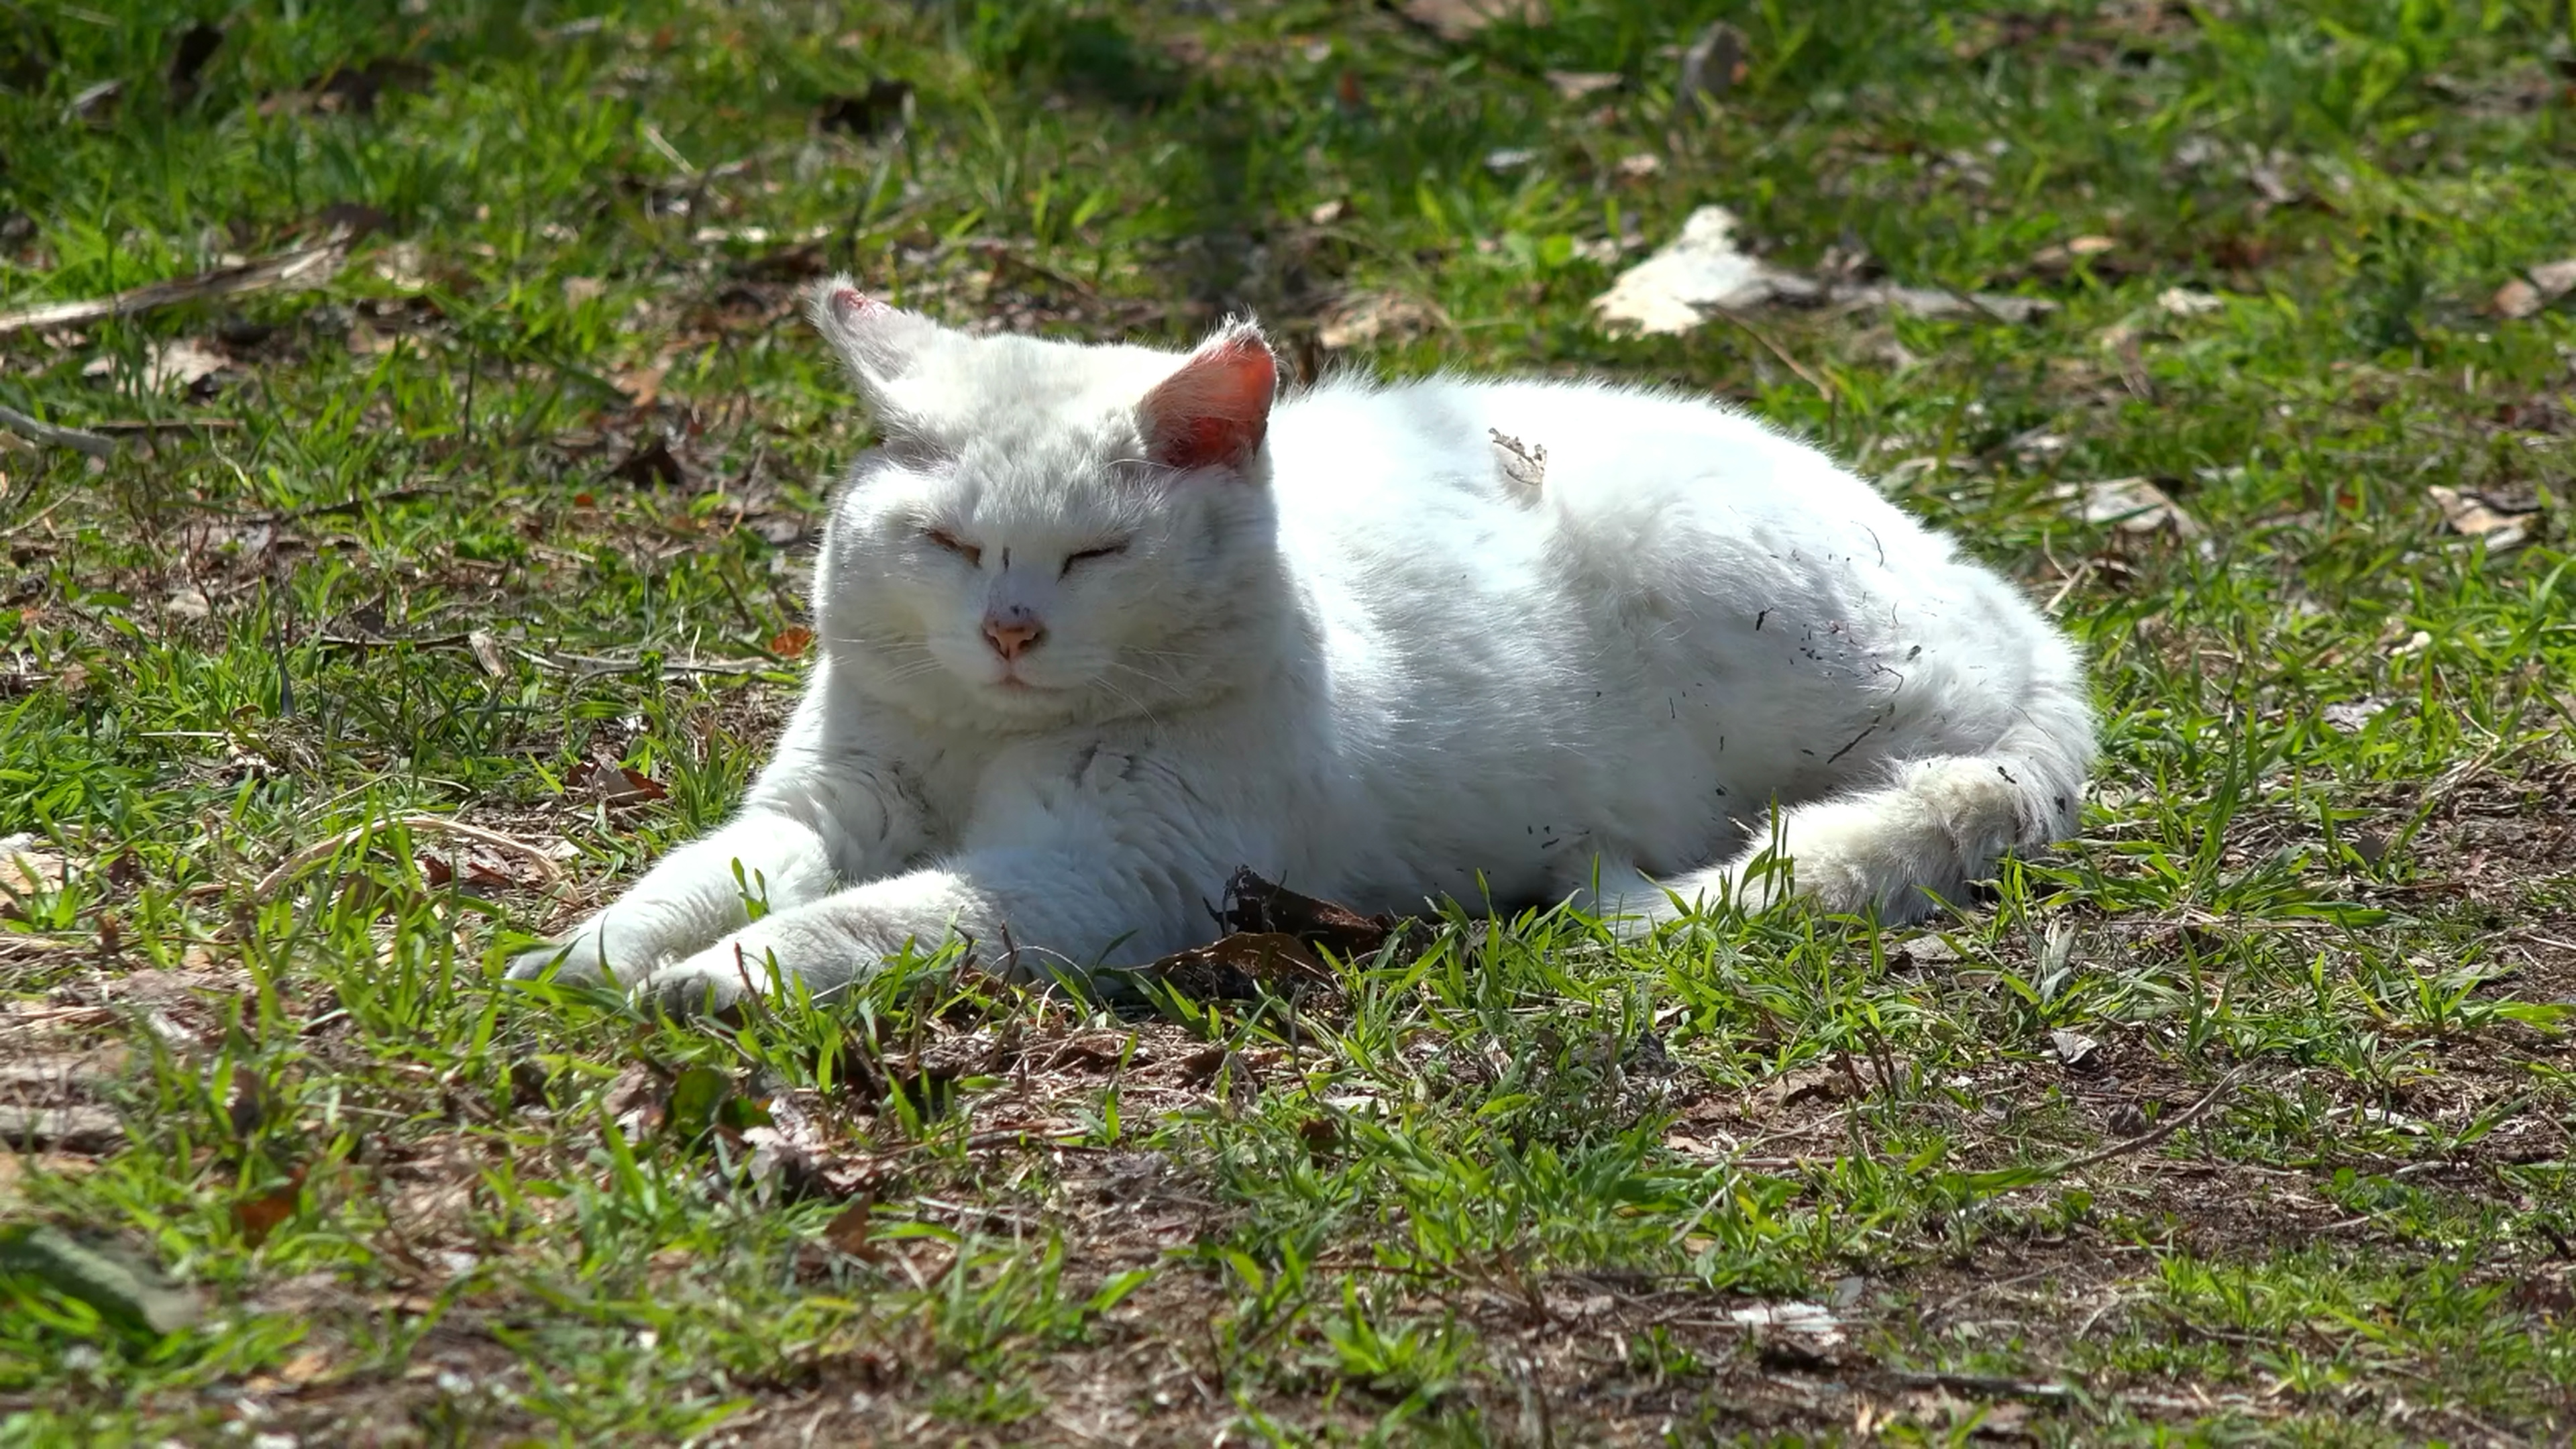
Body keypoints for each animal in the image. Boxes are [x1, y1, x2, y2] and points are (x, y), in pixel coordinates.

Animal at [502, 280, 2092, 1005]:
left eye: (1095, 554)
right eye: (949, 544)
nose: (1009, 627)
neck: (985, 739)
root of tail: (2021, 613)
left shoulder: (1095, 878)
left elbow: (869, 920)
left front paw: (714, 981)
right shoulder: (827, 807)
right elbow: (704, 874)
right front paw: (586, 957)